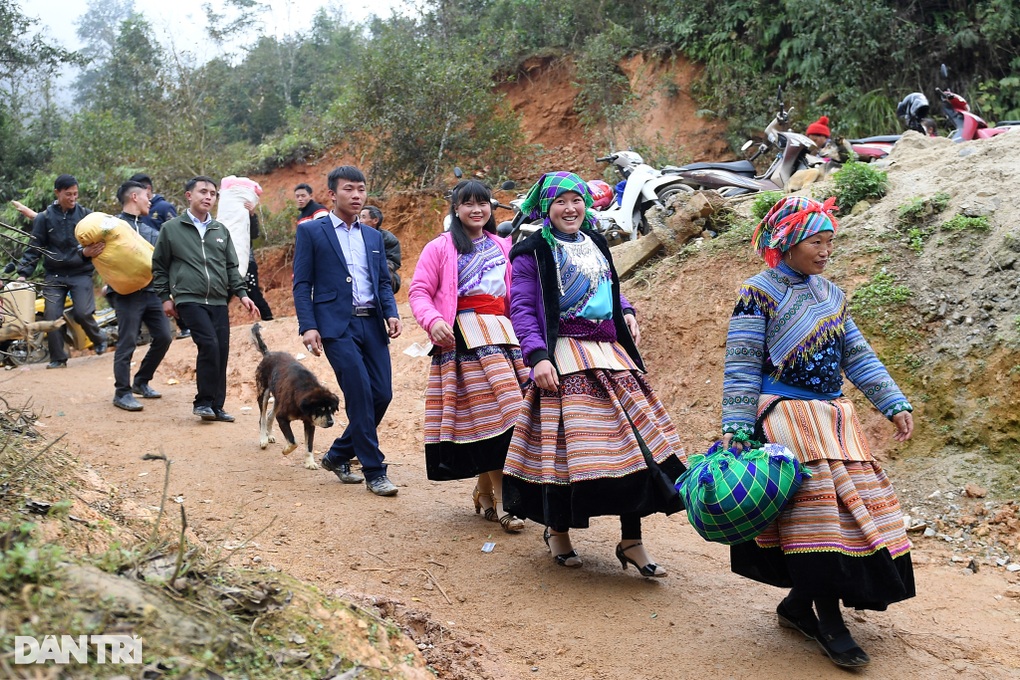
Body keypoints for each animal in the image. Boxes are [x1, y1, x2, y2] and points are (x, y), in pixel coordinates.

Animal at [251, 324, 340, 468]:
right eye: (320, 410)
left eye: (332, 410)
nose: (331, 422)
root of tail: (268, 354)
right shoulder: (282, 417)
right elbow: (294, 441)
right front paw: (286, 450)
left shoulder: (310, 423)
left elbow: (309, 445)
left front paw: (310, 462)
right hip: (263, 394)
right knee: (263, 418)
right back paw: (264, 439)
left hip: (278, 399)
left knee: (270, 415)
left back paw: (269, 436)